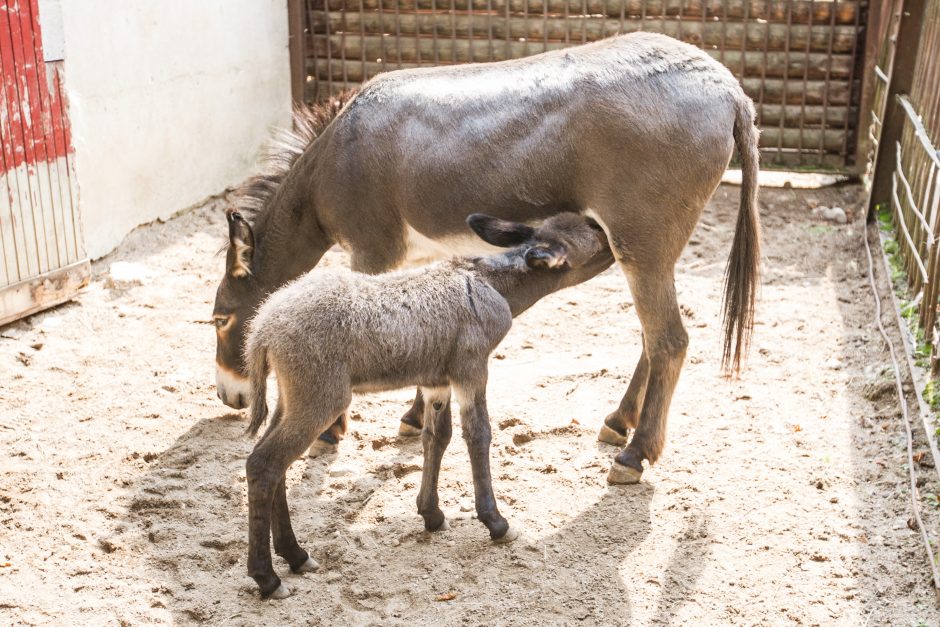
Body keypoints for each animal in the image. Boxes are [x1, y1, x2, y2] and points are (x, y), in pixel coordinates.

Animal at [241, 213, 616, 600]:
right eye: (595, 234)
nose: (615, 237)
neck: (491, 283)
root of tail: (262, 328)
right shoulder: (471, 368)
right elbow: (478, 435)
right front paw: (496, 523)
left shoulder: (438, 381)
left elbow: (437, 437)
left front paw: (432, 514)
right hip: (320, 397)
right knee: (264, 465)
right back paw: (268, 577)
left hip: (293, 397)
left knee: (274, 465)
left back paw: (296, 555)